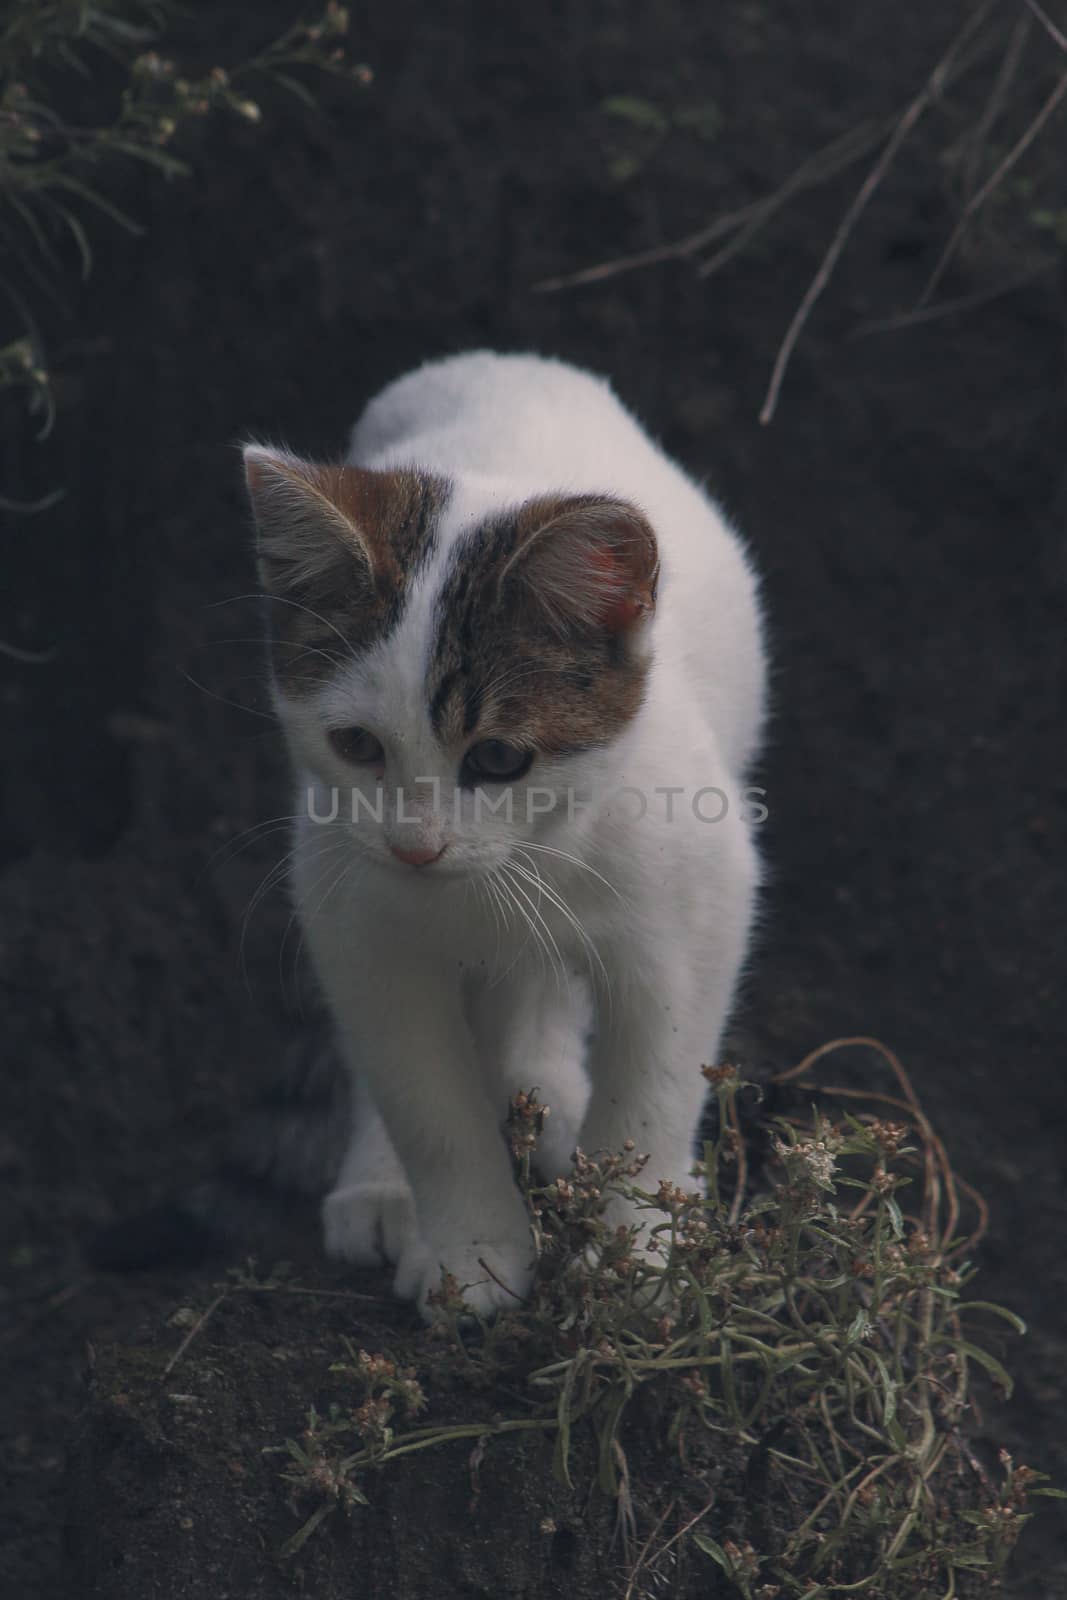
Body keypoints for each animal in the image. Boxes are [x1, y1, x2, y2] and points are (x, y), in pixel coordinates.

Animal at [241, 356, 764, 1318]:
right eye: (357, 745)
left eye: (496, 757)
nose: (417, 846)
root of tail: (501, 363)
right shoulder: (356, 922)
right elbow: (425, 1099)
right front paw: (472, 1253)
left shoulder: (699, 900)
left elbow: (659, 1075)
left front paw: (635, 1247)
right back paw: (382, 1188)